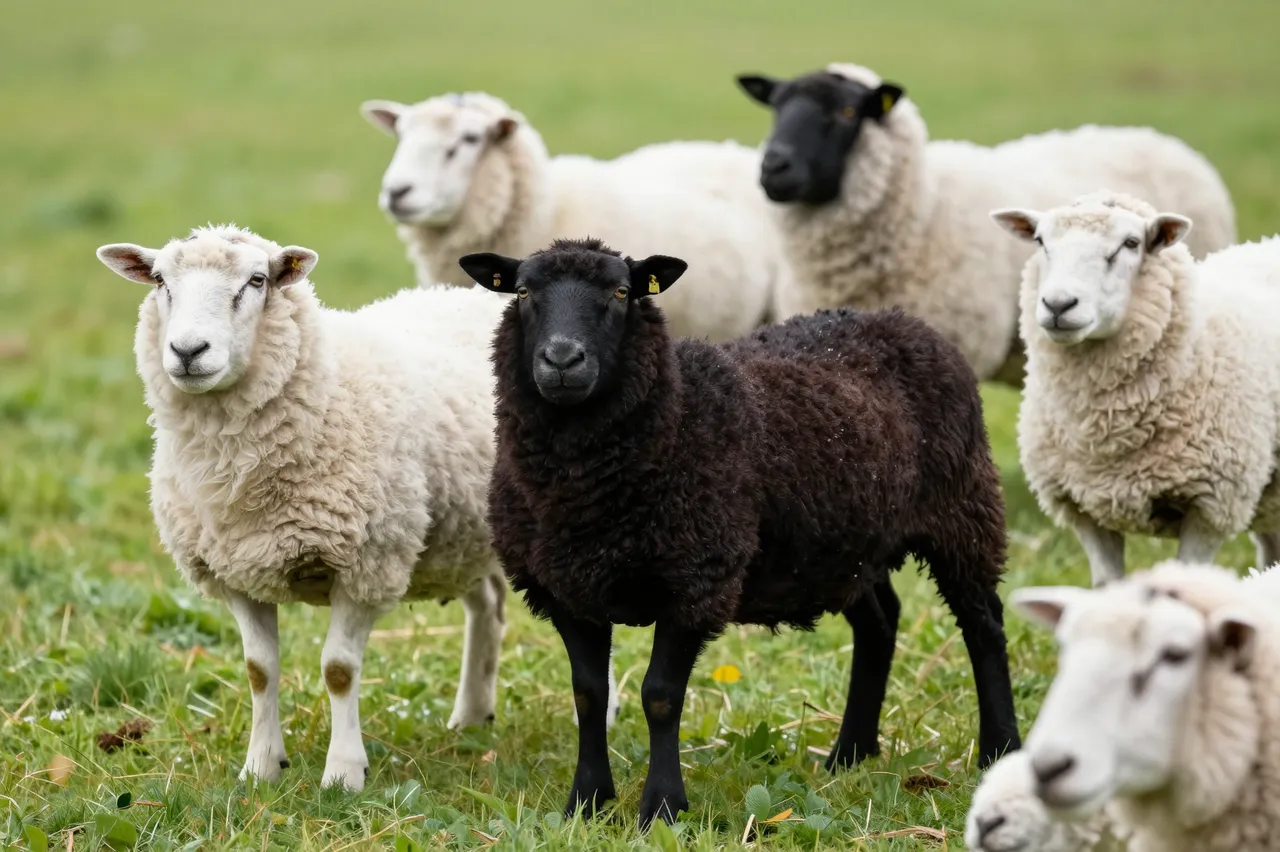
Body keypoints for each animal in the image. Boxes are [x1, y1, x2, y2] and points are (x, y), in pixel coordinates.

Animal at [94, 224, 511, 792]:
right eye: (160, 280)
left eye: (257, 280)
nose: (187, 350)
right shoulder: (235, 570)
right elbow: (258, 669)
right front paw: (260, 767)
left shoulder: (367, 565)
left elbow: (338, 670)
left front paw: (344, 774)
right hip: (460, 537)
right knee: (487, 604)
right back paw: (470, 716)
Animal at [460, 237, 1021, 828]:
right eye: (524, 292)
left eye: (621, 292)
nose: (563, 360)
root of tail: (903, 319)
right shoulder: (567, 589)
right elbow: (588, 695)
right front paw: (586, 804)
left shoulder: (696, 579)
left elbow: (660, 696)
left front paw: (662, 807)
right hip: (845, 545)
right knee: (880, 622)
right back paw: (849, 754)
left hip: (963, 509)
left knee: (984, 625)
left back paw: (999, 748)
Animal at [991, 191, 1280, 586]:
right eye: (1040, 241)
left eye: (1131, 243)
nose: (1059, 305)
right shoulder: (1085, 508)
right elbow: (1106, 585)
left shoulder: (1211, 505)